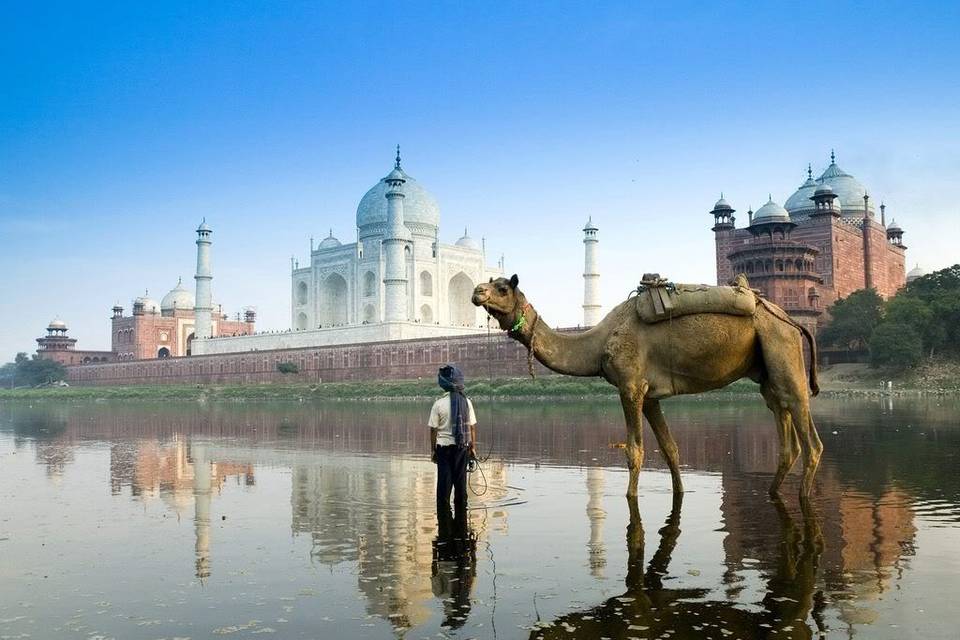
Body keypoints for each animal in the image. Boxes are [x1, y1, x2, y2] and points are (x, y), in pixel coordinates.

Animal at [468, 276, 820, 500]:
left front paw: (630, 496)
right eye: (488, 282)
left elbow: (634, 450)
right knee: (783, 427)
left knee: (808, 433)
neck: (598, 343)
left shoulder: (630, 385)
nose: (476, 291)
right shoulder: (650, 396)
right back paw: (773, 492)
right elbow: (670, 448)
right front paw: (680, 491)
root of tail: (792, 321)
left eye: (502, 287)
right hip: (766, 370)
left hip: (782, 346)